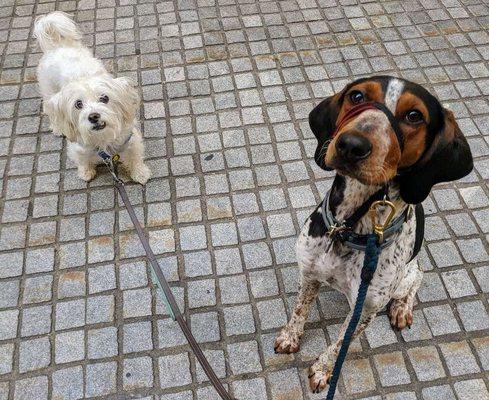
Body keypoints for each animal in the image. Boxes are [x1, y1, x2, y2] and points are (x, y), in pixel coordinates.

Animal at [33, 10, 151, 183]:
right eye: (78, 104)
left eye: (104, 98)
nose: (93, 116)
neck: (103, 141)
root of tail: (56, 46)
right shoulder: (79, 147)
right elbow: (83, 160)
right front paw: (86, 172)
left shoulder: (130, 140)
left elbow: (135, 157)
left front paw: (140, 173)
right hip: (49, 91)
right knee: (50, 109)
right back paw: (58, 127)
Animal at [272, 76, 470, 394]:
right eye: (356, 96)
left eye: (414, 115)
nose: (351, 145)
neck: (348, 229)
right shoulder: (309, 274)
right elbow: (300, 310)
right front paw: (290, 337)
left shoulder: (364, 312)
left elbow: (340, 344)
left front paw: (322, 371)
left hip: (405, 278)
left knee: (418, 276)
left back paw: (402, 309)